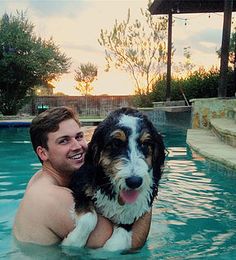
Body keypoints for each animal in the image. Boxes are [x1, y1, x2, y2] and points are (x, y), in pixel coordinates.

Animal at [62, 106, 166, 251]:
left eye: (145, 144)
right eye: (116, 143)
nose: (134, 182)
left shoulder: (133, 212)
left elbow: (118, 242)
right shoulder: (79, 187)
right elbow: (89, 218)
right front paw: (74, 241)